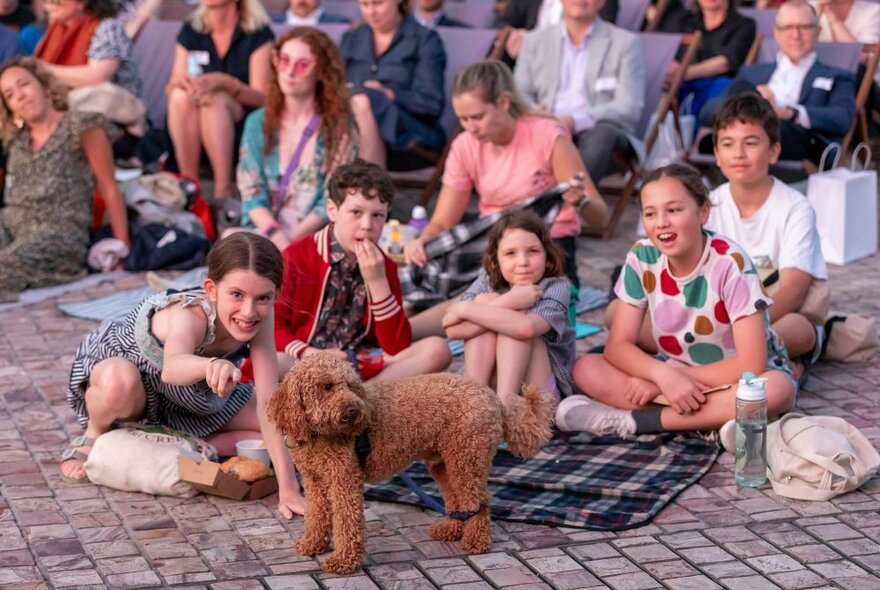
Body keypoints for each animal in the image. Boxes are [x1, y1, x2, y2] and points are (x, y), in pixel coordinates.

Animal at [266, 354, 552, 576]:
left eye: (350, 385)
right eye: (326, 386)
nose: (354, 410)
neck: (319, 434)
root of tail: (493, 398)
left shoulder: (344, 481)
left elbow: (347, 524)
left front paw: (343, 561)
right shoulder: (315, 481)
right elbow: (316, 515)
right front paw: (312, 544)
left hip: (466, 458)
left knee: (478, 503)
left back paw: (476, 542)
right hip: (443, 463)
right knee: (457, 500)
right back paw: (451, 529)